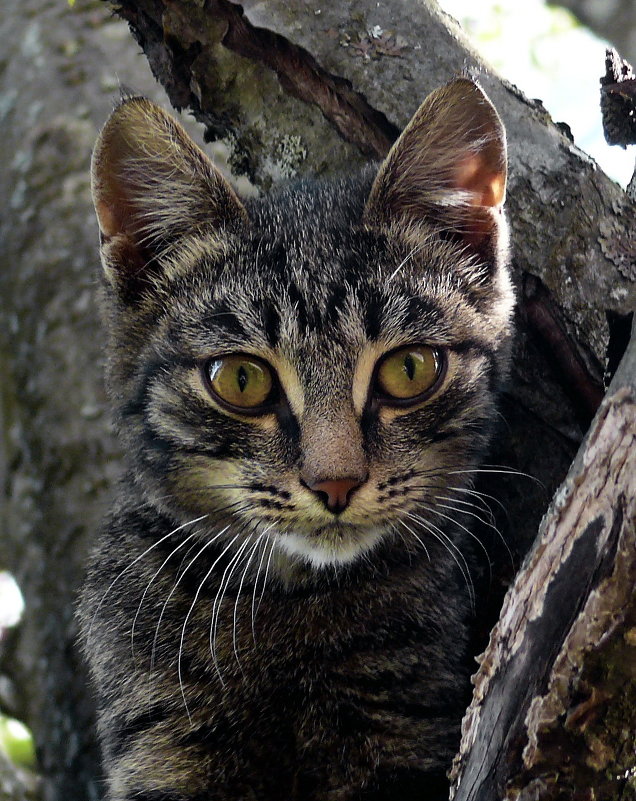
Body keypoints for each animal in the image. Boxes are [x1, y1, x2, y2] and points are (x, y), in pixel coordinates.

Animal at [79, 76, 516, 800]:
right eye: (242, 379)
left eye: (409, 369)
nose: (335, 482)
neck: (287, 603)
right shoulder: (160, 738)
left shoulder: (404, 725)